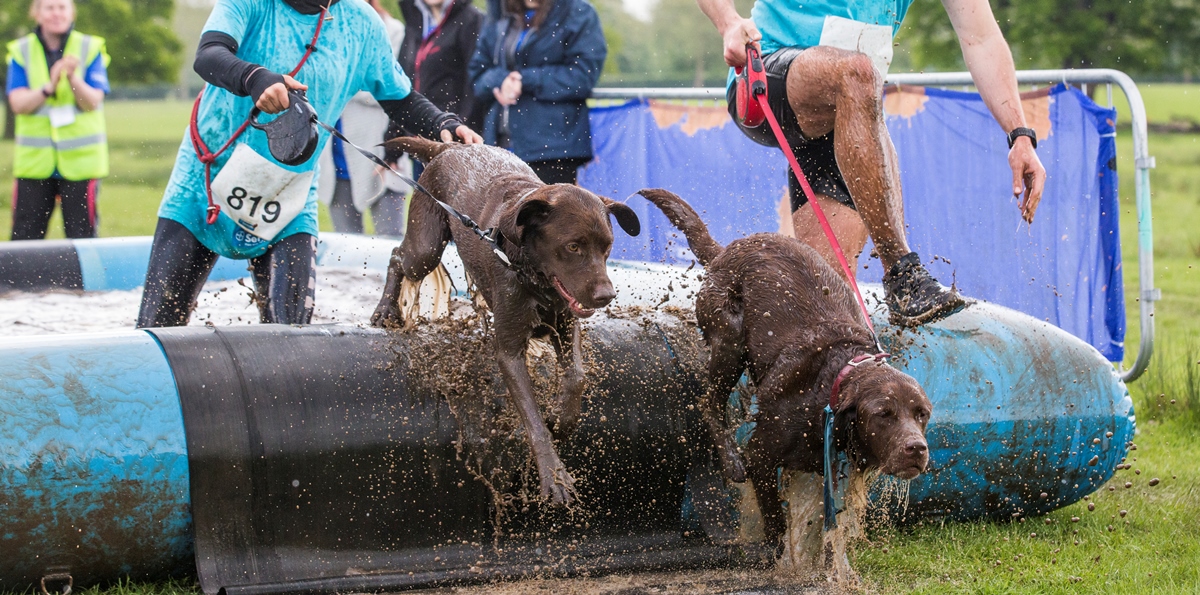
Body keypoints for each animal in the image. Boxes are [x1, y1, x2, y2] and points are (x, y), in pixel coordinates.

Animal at [374, 137, 643, 503]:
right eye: (573, 246)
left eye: (608, 247)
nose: (606, 296)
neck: (531, 271)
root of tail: (449, 149)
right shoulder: (509, 351)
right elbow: (532, 418)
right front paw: (554, 477)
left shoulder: (566, 324)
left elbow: (576, 376)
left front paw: (561, 419)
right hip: (426, 246)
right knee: (397, 257)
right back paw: (385, 310)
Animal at [643, 189, 931, 539]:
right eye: (883, 414)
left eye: (922, 414)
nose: (917, 448)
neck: (831, 383)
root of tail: (726, 250)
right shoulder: (761, 455)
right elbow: (776, 523)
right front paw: (775, 549)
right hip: (729, 339)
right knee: (708, 402)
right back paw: (730, 460)